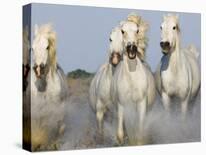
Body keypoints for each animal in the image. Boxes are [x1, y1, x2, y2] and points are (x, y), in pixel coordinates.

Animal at [111, 13, 156, 145]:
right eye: (122, 31)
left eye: (137, 30)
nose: (132, 49)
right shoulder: (122, 105)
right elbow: (121, 134)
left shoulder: (141, 104)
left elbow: (139, 134)